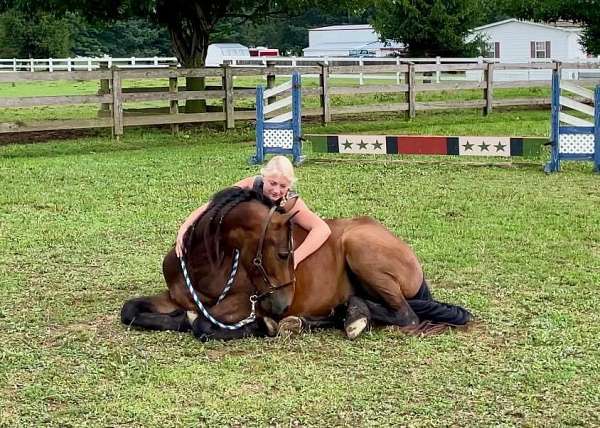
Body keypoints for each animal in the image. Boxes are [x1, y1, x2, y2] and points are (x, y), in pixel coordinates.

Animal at [119, 187, 472, 342]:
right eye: (283, 253)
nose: (281, 305)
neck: (208, 267)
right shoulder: (174, 297)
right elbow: (130, 310)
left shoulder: (241, 305)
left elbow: (203, 326)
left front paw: (261, 326)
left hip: (360, 248)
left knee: (406, 316)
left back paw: (348, 316)